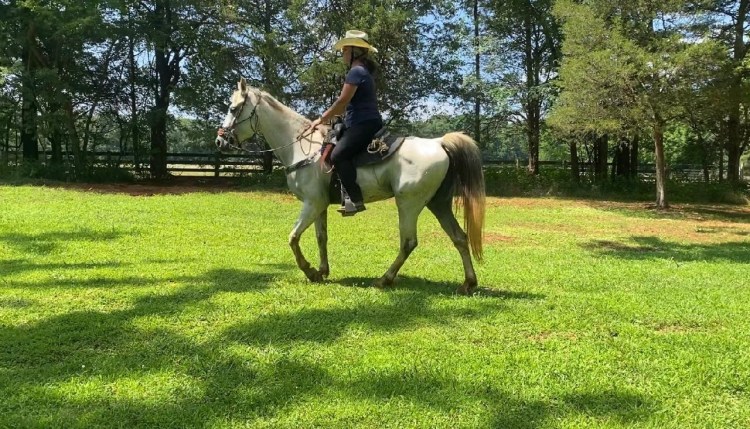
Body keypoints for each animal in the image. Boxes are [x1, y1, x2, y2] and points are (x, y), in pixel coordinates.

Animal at [215, 78, 486, 294]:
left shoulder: (312, 203)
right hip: (438, 203)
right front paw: (322, 270)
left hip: (409, 203)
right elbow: (321, 237)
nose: (219, 140)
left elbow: (293, 237)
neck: (304, 147)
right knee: (459, 237)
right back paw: (468, 283)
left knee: (408, 242)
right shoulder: (319, 204)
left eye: (232, 108)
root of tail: (439, 143)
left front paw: (309, 271)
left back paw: (384, 279)